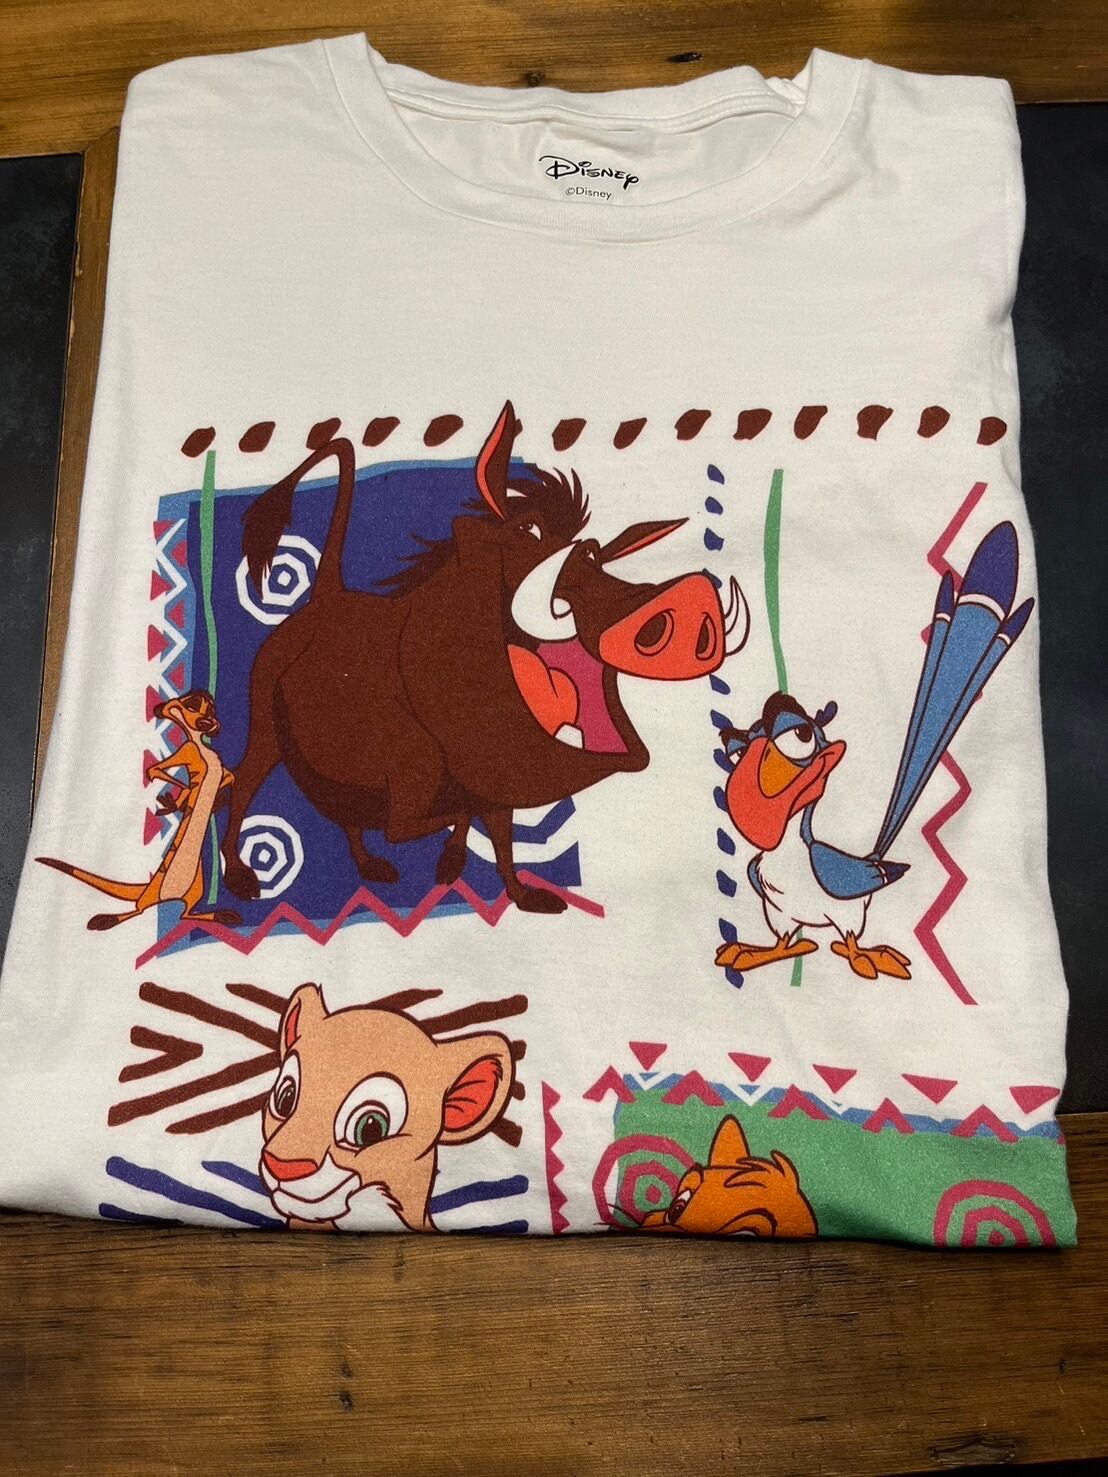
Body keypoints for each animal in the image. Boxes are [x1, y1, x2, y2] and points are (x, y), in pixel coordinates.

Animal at [223, 401, 749, 914]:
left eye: (596, 554)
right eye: (528, 531)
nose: (692, 598)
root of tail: (326, 597)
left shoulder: (497, 777)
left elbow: (499, 836)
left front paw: (517, 892)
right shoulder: (416, 782)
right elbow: (446, 817)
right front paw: (452, 862)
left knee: (343, 807)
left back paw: (370, 865)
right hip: (266, 721)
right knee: (245, 783)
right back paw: (240, 877)